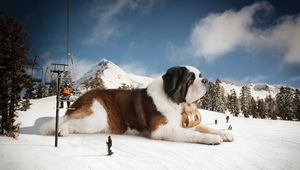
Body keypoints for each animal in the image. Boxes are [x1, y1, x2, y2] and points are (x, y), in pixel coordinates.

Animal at [39, 65, 233, 144]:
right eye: (191, 79)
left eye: (200, 76)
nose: (206, 81)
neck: (174, 101)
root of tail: (82, 97)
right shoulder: (161, 130)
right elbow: (193, 134)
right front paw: (212, 139)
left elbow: (205, 128)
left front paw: (224, 134)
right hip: (95, 118)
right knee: (68, 122)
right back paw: (61, 131)